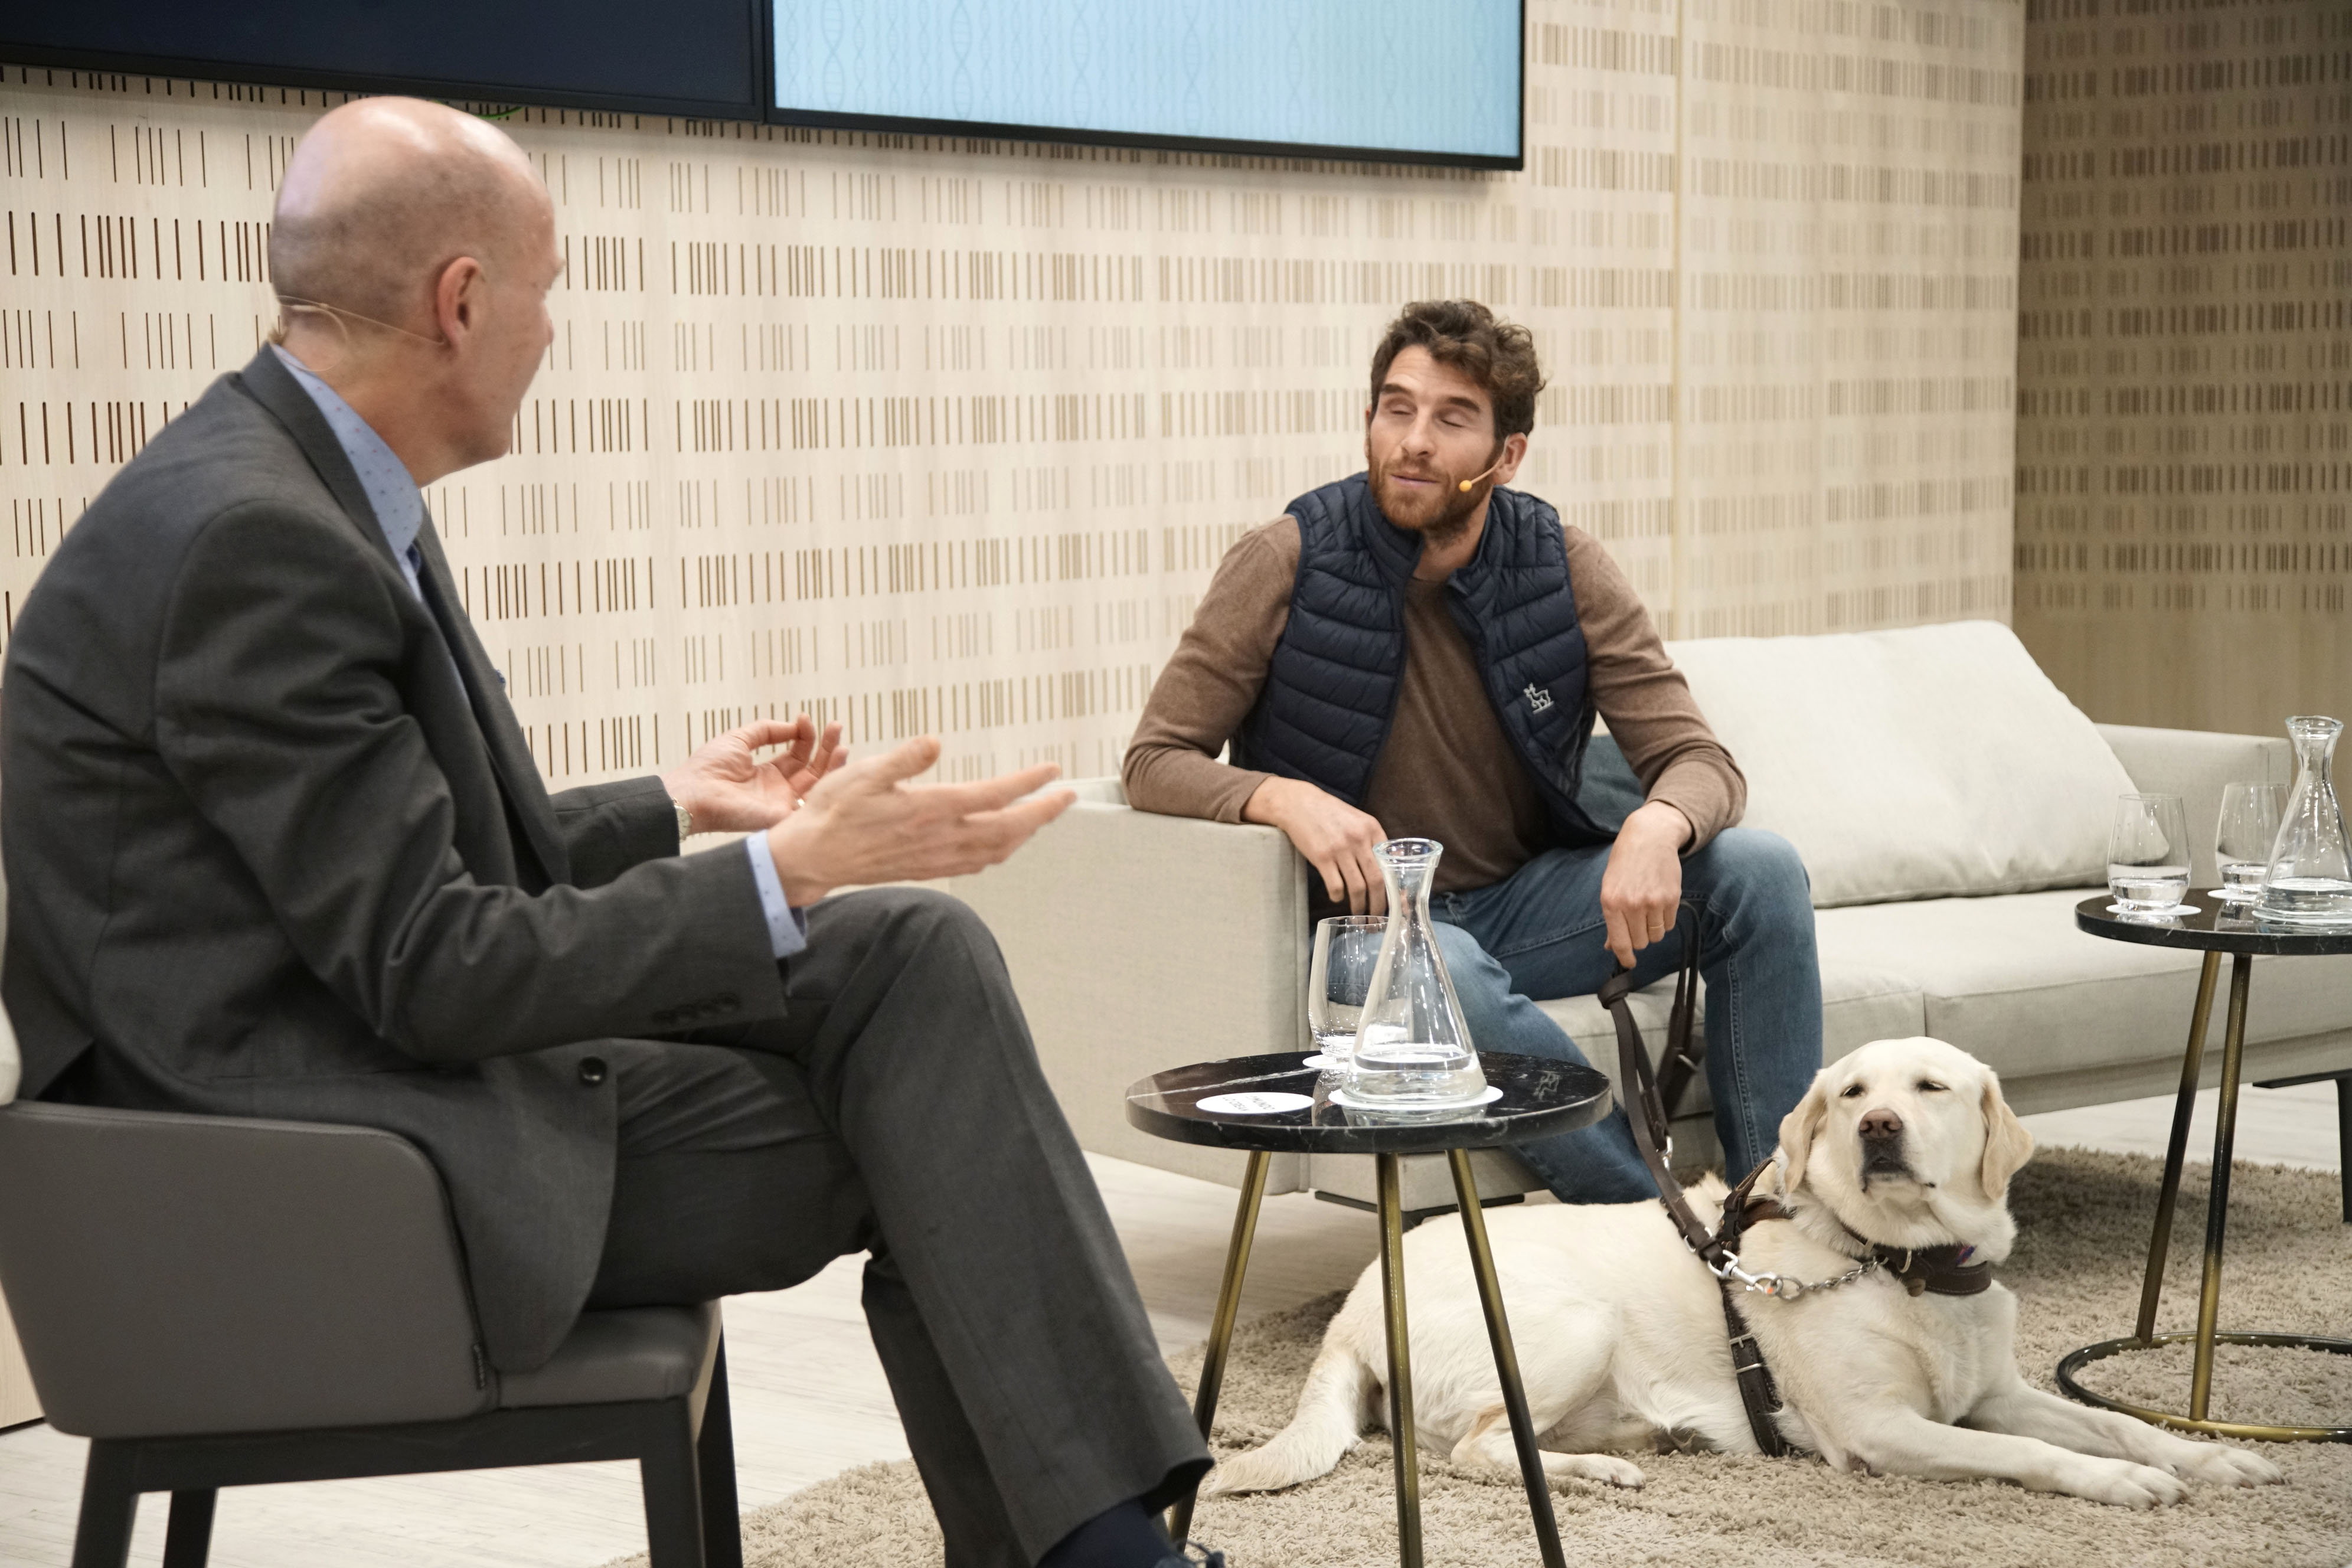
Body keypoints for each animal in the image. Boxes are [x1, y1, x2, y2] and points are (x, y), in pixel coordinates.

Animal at [1213, 1044, 2276, 1504]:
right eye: (1852, 1092)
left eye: (1928, 1087)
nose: (1876, 1126)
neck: (1902, 1264)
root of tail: (1355, 1306)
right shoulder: (1883, 1431)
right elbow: (2033, 1455)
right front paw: (2119, 1483)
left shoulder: (1993, 1394)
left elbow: (2112, 1423)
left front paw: (2208, 1458)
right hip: (1572, 1326)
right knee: (1475, 1449)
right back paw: (1596, 1472)